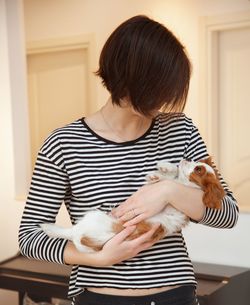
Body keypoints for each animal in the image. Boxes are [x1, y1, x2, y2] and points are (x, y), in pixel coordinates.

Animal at [40, 157, 225, 252]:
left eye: (198, 170)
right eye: (196, 162)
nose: (184, 159)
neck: (183, 184)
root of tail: (77, 235)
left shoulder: (175, 208)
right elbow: (169, 175)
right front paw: (163, 169)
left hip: (93, 216)